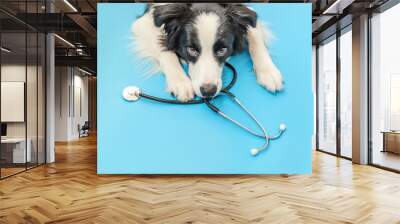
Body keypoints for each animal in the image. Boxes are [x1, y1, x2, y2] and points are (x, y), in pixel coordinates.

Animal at [133, 3, 282, 101]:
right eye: (192, 49)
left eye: (222, 50)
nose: (208, 92)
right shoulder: (144, 21)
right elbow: (165, 50)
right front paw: (180, 82)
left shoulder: (247, 11)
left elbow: (255, 36)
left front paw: (268, 72)